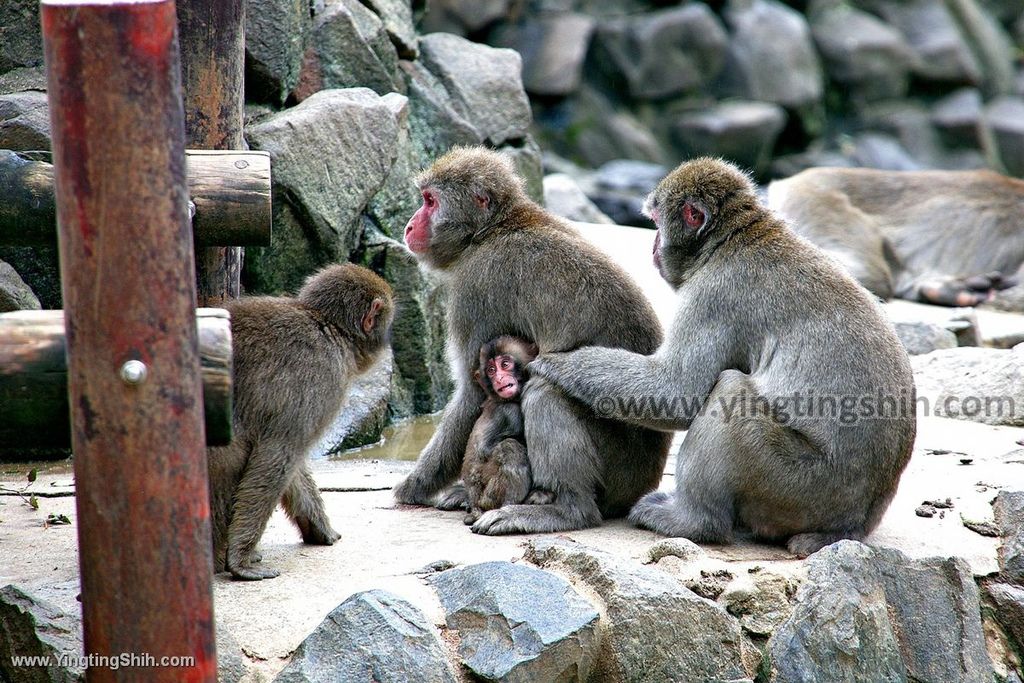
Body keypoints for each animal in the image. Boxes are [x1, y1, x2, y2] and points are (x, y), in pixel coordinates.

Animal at [209, 264, 393, 581]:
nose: (390, 339)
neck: (329, 328)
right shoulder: (324, 376)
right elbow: (279, 452)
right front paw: (240, 558)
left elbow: (292, 466)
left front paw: (319, 529)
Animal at [462, 339, 557, 528]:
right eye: (491, 370)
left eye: (505, 364)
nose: (498, 378)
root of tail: (476, 503)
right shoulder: (511, 412)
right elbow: (488, 448)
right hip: (487, 497)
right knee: (510, 448)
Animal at [532, 157, 917, 557]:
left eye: (655, 222)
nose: (652, 247)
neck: (733, 238)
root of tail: (856, 522)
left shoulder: (714, 295)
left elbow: (675, 393)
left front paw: (555, 365)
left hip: (800, 486)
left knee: (731, 390)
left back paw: (693, 521)